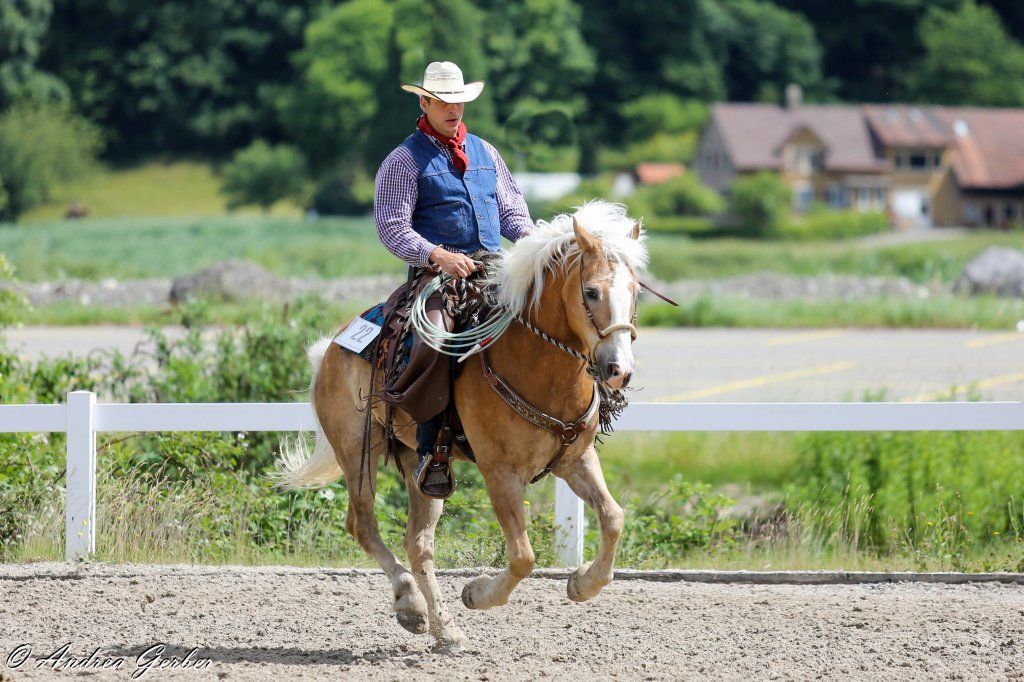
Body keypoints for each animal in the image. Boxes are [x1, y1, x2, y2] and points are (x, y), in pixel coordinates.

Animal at [275, 200, 648, 650]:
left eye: (635, 291)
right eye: (591, 291)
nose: (618, 370)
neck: (535, 365)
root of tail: (330, 349)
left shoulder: (576, 460)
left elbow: (613, 518)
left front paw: (582, 584)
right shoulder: (499, 472)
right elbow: (523, 556)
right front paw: (476, 593)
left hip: (422, 469)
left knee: (418, 544)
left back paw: (443, 627)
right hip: (354, 451)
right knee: (363, 525)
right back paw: (411, 604)